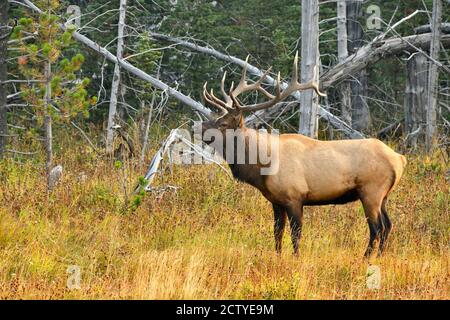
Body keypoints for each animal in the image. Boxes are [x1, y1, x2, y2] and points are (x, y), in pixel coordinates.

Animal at [199, 53, 406, 258]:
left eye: (223, 123)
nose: (200, 127)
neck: (261, 167)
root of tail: (400, 159)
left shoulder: (294, 197)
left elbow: (295, 233)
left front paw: (295, 258)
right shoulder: (276, 201)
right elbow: (277, 232)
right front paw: (278, 257)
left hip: (371, 191)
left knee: (377, 228)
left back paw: (365, 258)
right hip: (383, 196)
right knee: (388, 225)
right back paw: (379, 256)